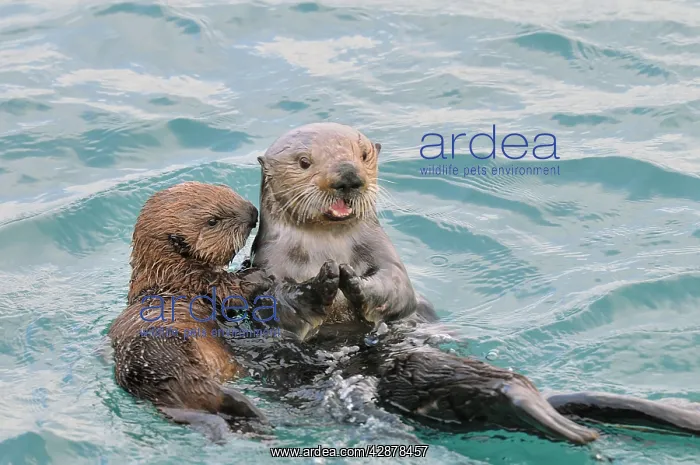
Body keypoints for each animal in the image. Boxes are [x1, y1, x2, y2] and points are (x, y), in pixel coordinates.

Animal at [109, 181, 337, 442]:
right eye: (213, 221)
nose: (252, 213)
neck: (167, 272)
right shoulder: (195, 281)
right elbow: (230, 291)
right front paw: (257, 275)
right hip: (160, 348)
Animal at [243, 122, 700, 444]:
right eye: (304, 162)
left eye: (362, 153)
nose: (348, 175)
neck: (326, 247)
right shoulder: (267, 268)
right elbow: (274, 307)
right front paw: (318, 287)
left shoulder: (386, 255)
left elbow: (399, 289)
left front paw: (355, 283)